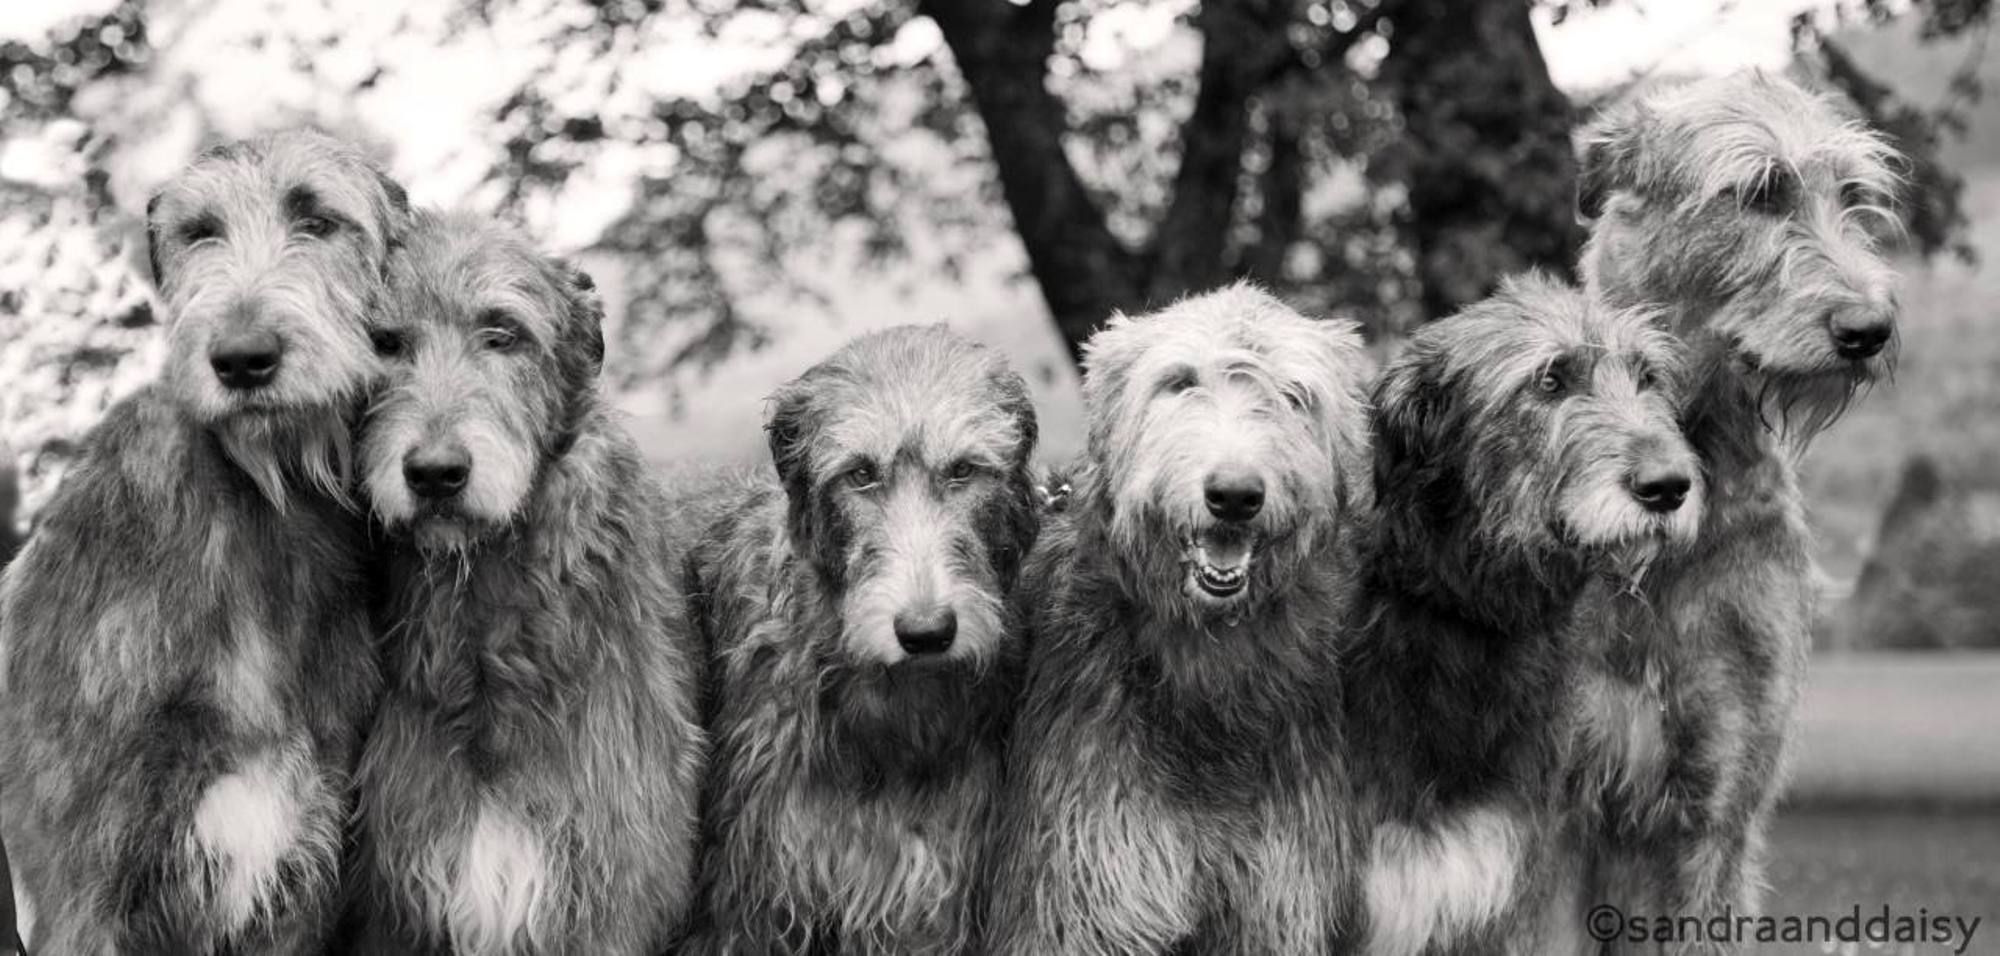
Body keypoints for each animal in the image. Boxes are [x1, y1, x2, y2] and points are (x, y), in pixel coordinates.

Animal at [984, 284, 1376, 956]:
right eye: (1179, 382)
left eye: (1294, 395)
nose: (1236, 495)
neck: (1205, 660)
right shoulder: (1082, 890)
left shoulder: (1272, 903)